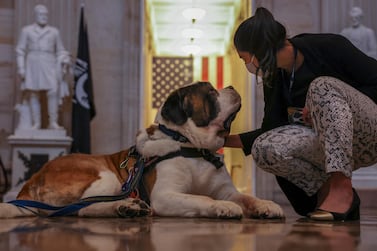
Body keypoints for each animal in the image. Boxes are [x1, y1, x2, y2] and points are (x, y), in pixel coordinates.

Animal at [0, 82, 282, 220]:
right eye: (211, 92)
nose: (232, 87)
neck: (192, 147)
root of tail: (32, 178)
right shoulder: (165, 196)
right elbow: (203, 198)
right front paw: (222, 207)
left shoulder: (227, 190)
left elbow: (244, 197)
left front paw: (266, 205)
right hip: (104, 175)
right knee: (81, 208)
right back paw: (124, 208)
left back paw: (128, 208)